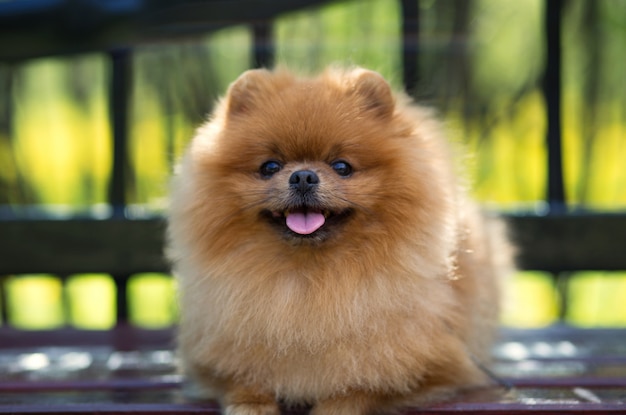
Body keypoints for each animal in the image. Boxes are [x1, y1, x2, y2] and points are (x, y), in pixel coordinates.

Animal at [167, 66, 512, 414]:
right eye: (270, 167)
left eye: (342, 167)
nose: (303, 176)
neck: (309, 281)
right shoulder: (215, 353)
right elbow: (241, 379)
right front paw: (251, 404)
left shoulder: (435, 365)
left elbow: (363, 387)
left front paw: (336, 405)